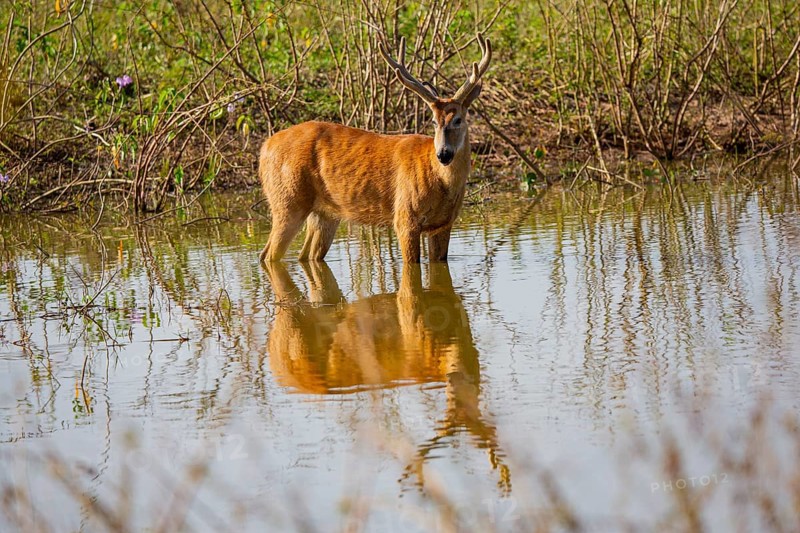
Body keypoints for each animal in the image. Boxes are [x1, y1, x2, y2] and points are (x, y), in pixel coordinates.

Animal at [258, 34, 491, 264]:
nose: (443, 153)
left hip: (324, 213)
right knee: (267, 254)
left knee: (305, 255)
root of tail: (265, 147)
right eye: (433, 121)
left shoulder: (443, 224)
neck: (440, 180)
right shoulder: (405, 218)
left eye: (458, 119)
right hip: (288, 200)